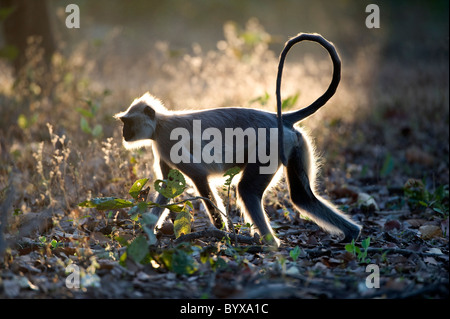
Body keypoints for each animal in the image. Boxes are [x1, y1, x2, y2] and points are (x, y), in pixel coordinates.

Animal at [116, 33, 362, 248]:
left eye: (127, 123)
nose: (124, 133)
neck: (159, 124)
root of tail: (279, 118)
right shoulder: (160, 148)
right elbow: (167, 187)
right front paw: (146, 233)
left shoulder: (166, 141)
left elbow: (198, 177)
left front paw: (220, 228)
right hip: (294, 143)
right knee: (302, 197)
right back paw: (352, 233)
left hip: (270, 146)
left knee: (246, 190)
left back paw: (271, 244)